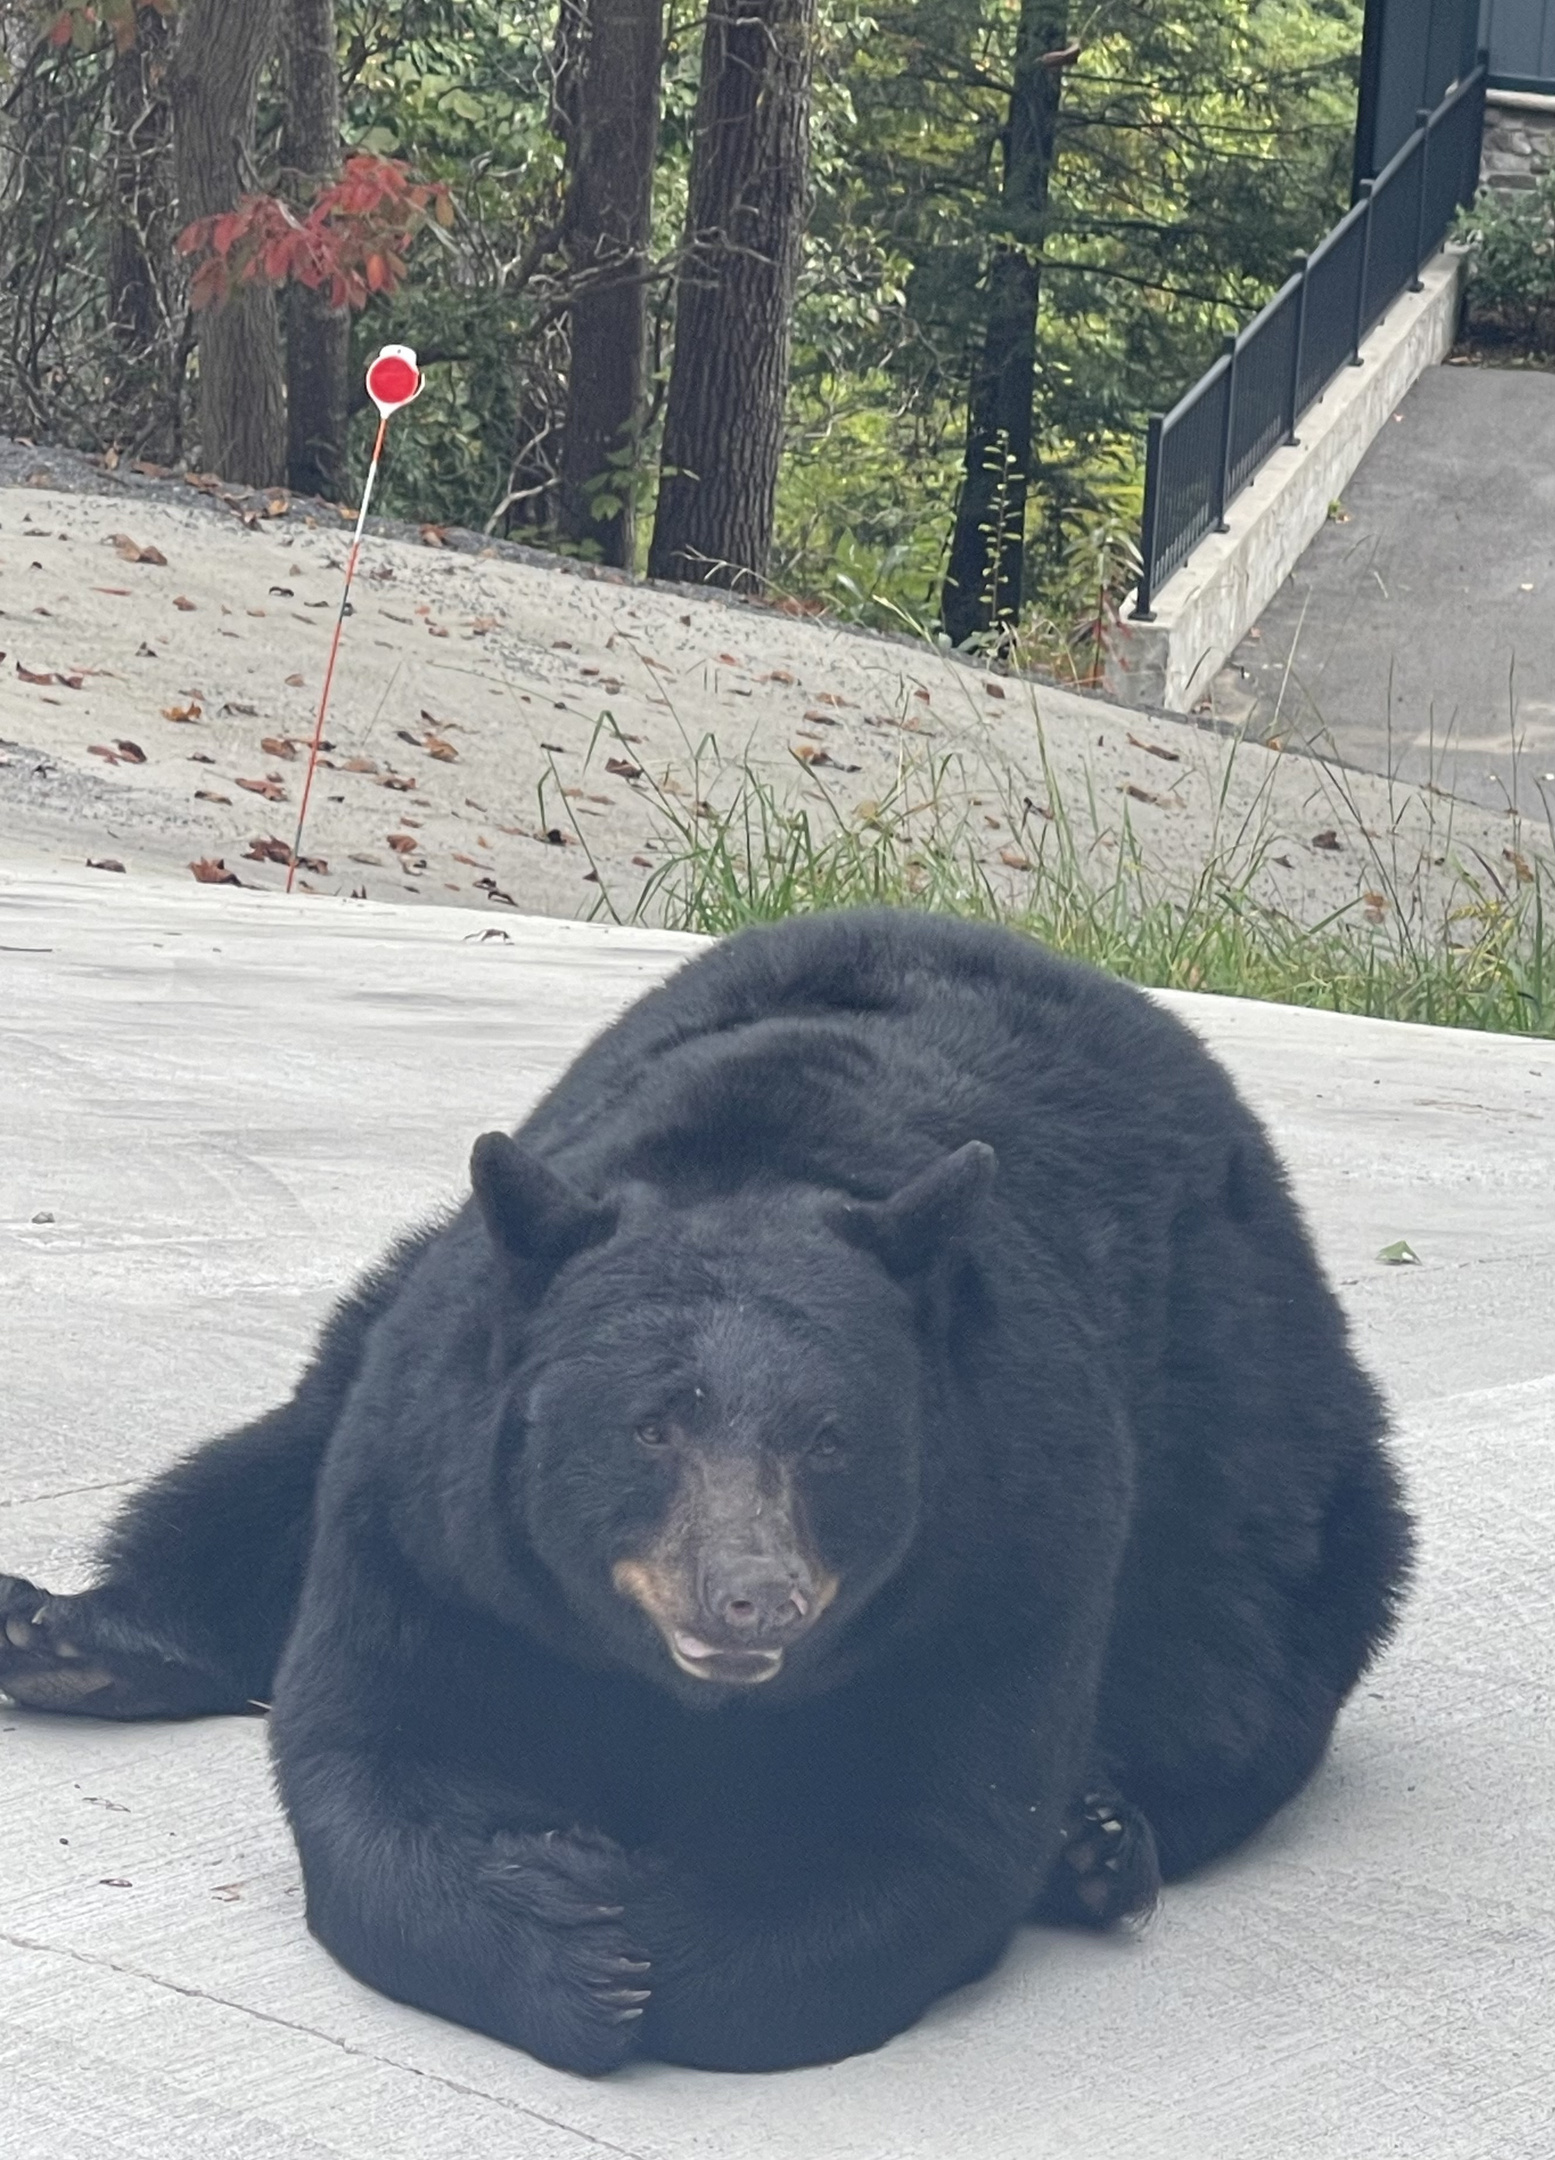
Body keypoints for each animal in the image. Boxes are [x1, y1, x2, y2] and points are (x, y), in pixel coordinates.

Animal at [0, 907, 1413, 2074]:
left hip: (1275, 1489)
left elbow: (920, 1844)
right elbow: (369, 1748)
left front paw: (644, 1926)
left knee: (1243, 1674)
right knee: (260, 1474)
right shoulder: (425, 1496)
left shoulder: (1010, 1544)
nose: (750, 1598)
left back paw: (1102, 1841)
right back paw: (70, 1643)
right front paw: (557, 1924)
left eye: (832, 1440)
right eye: (650, 1428)